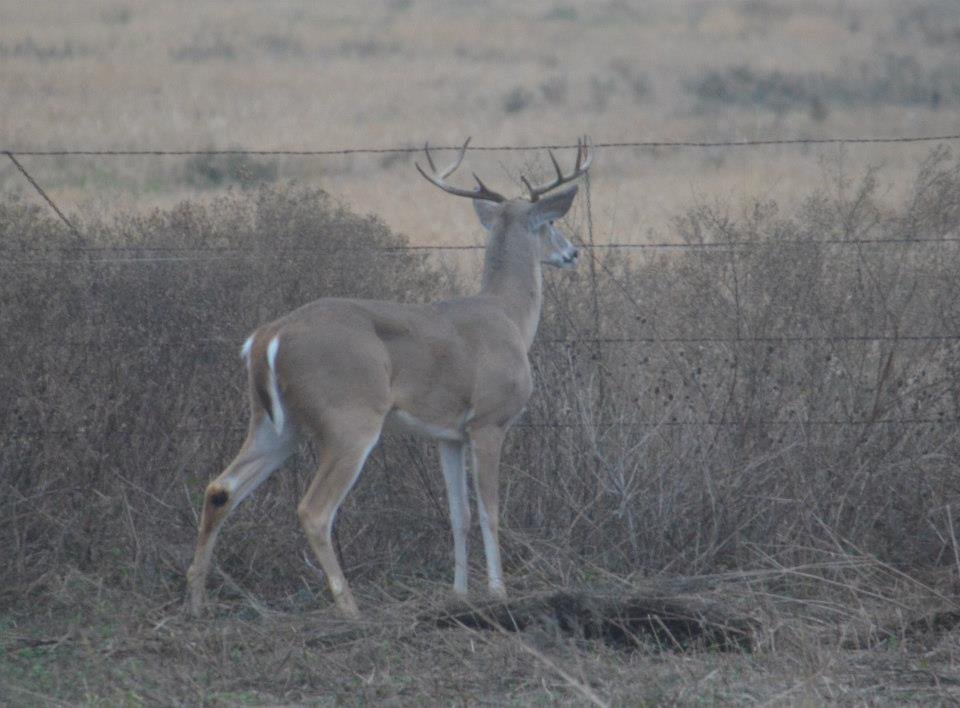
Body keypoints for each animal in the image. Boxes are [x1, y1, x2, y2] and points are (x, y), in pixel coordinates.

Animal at [186, 137, 593, 618]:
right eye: (550, 224)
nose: (572, 253)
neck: (509, 316)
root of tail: (268, 336)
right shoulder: (488, 421)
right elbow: (490, 511)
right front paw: (498, 593)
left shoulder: (448, 435)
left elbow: (459, 514)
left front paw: (459, 594)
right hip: (350, 419)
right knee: (313, 510)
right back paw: (351, 609)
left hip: (275, 423)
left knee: (220, 488)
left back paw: (195, 602)